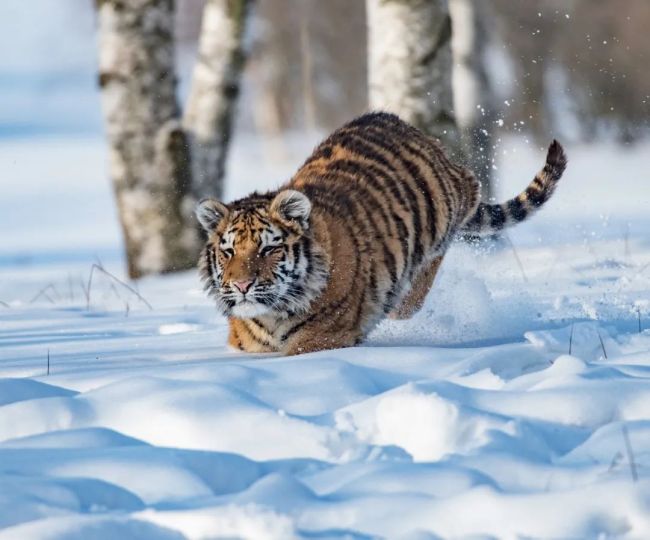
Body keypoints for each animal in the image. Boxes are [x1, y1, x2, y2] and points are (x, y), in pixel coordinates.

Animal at [195, 110, 564, 354]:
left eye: (268, 249)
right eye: (228, 251)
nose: (242, 286)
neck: (270, 316)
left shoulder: (323, 339)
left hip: (445, 212)